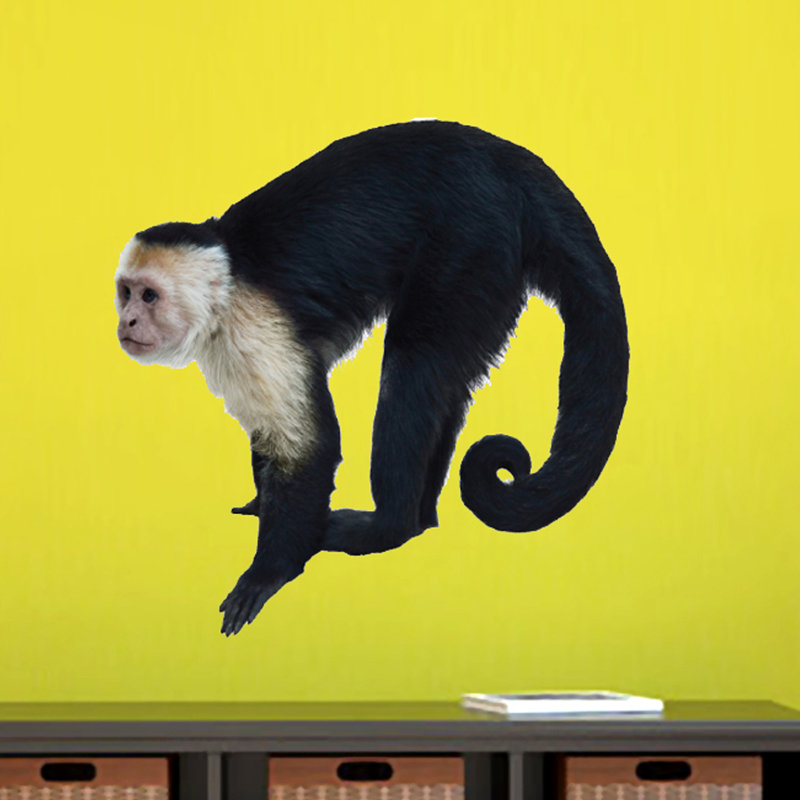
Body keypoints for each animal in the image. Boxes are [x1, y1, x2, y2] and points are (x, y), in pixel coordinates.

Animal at [115, 120, 628, 636]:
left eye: (150, 296)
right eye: (125, 294)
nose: (127, 323)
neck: (227, 284)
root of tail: (506, 157)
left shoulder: (251, 328)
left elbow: (308, 447)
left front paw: (269, 570)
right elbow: (270, 437)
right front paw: (264, 502)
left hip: (472, 241)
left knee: (413, 362)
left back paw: (389, 526)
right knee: (443, 383)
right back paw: (421, 518)